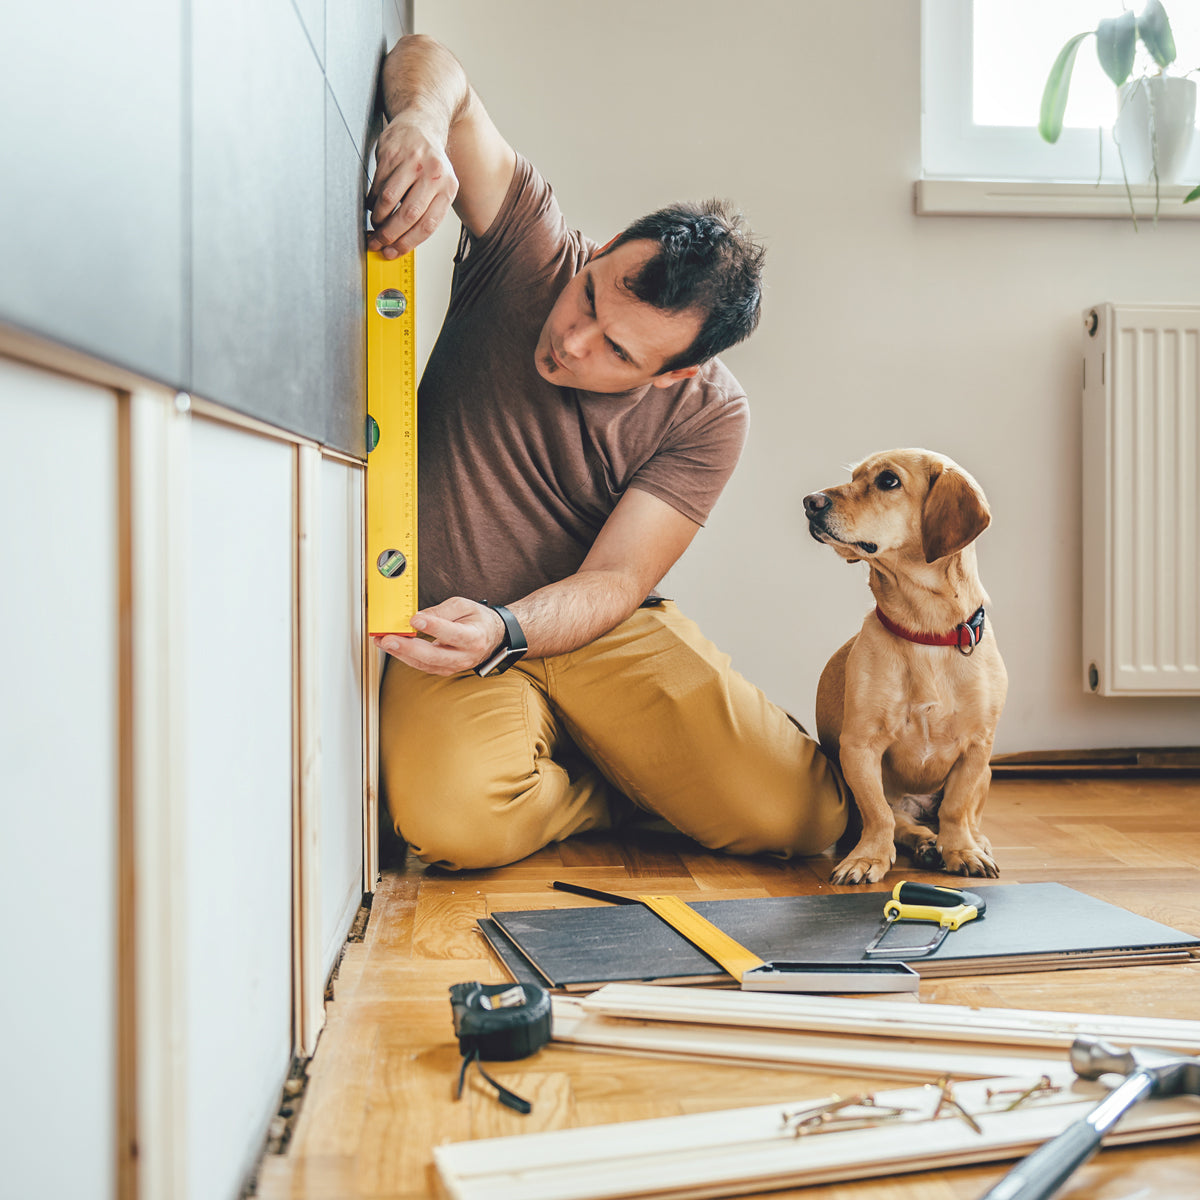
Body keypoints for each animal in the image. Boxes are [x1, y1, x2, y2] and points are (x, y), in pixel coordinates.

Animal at [806, 448, 1003, 883]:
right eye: (855, 477)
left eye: (888, 481)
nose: (810, 502)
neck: (925, 632)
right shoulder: (860, 747)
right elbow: (880, 815)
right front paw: (867, 859)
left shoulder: (977, 748)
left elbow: (956, 809)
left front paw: (962, 850)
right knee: (903, 822)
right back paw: (926, 843)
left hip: (986, 774)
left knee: (965, 817)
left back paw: (970, 843)